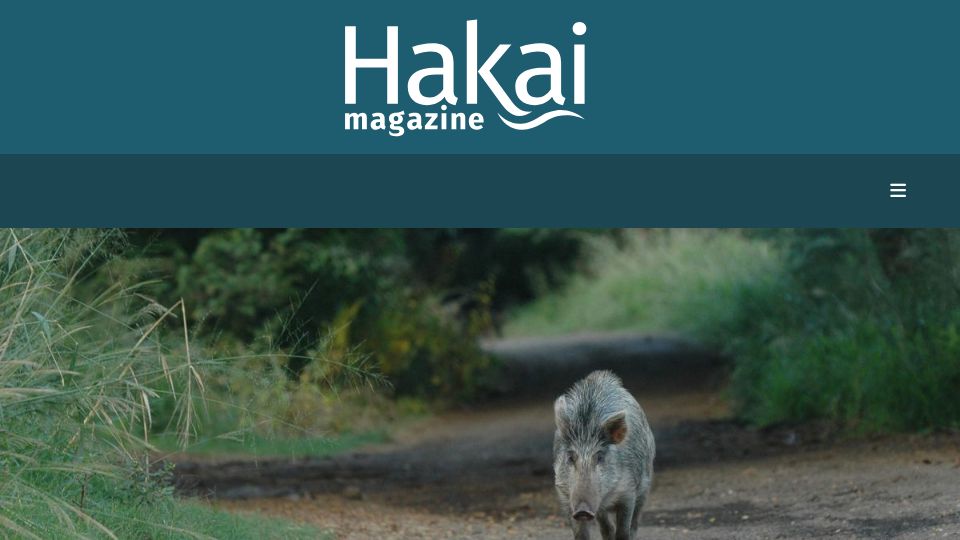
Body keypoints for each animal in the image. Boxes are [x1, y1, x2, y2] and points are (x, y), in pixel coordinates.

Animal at [553, 370, 655, 540]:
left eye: (599, 457)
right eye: (570, 457)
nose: (583, 510)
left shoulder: (628, 492)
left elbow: (623, 531)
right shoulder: (565, 496)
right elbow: (581, 534)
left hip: (645, 484)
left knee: (634, 523)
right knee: (605, 527)